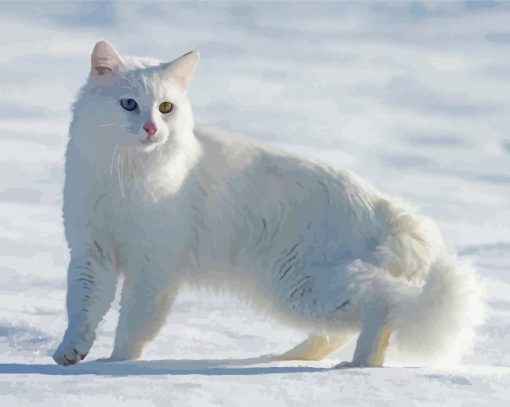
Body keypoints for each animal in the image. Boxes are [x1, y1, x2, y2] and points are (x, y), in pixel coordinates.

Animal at [53, 41, 484, 370]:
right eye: (128, 104)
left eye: (165, 107)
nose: (151, 129)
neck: (123, 180)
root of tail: (392, 211)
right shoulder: (91, 253)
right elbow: (82, 310)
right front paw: (69, 355)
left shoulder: (153, 266)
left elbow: (134, 324)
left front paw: (114, 365)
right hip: (302, 292)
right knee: (344, 326)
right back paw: (287, 357)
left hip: (304, 284)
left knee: (382, 304)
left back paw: (358, 365)